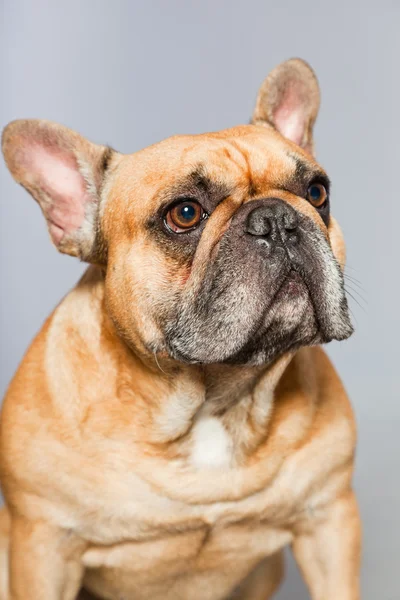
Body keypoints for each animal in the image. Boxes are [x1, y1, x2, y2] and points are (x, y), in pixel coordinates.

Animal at [0, 57, 360, 600]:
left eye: (317, 192)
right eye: (185, 214)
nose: (277, 219)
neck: (213, 398)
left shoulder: (329, 520)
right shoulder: (43, 545)